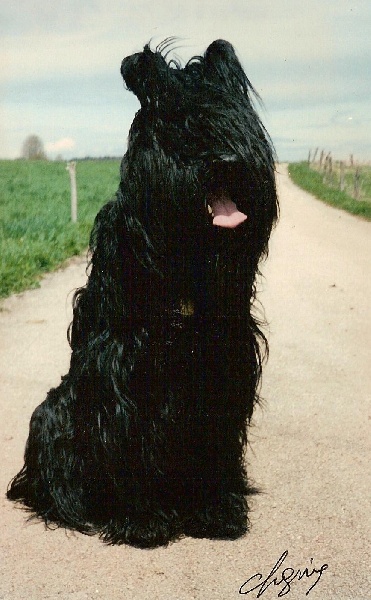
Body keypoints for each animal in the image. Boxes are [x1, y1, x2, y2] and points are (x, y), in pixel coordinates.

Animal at [7, 39, 280, 548]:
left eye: (234, 121)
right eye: (183, 125)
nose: (228, 161)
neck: (186, 260)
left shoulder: (223, 363)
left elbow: (215, 441)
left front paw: (215, 509)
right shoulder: (123, 366)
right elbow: (127, 436)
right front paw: (141, 519)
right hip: (52, 412)